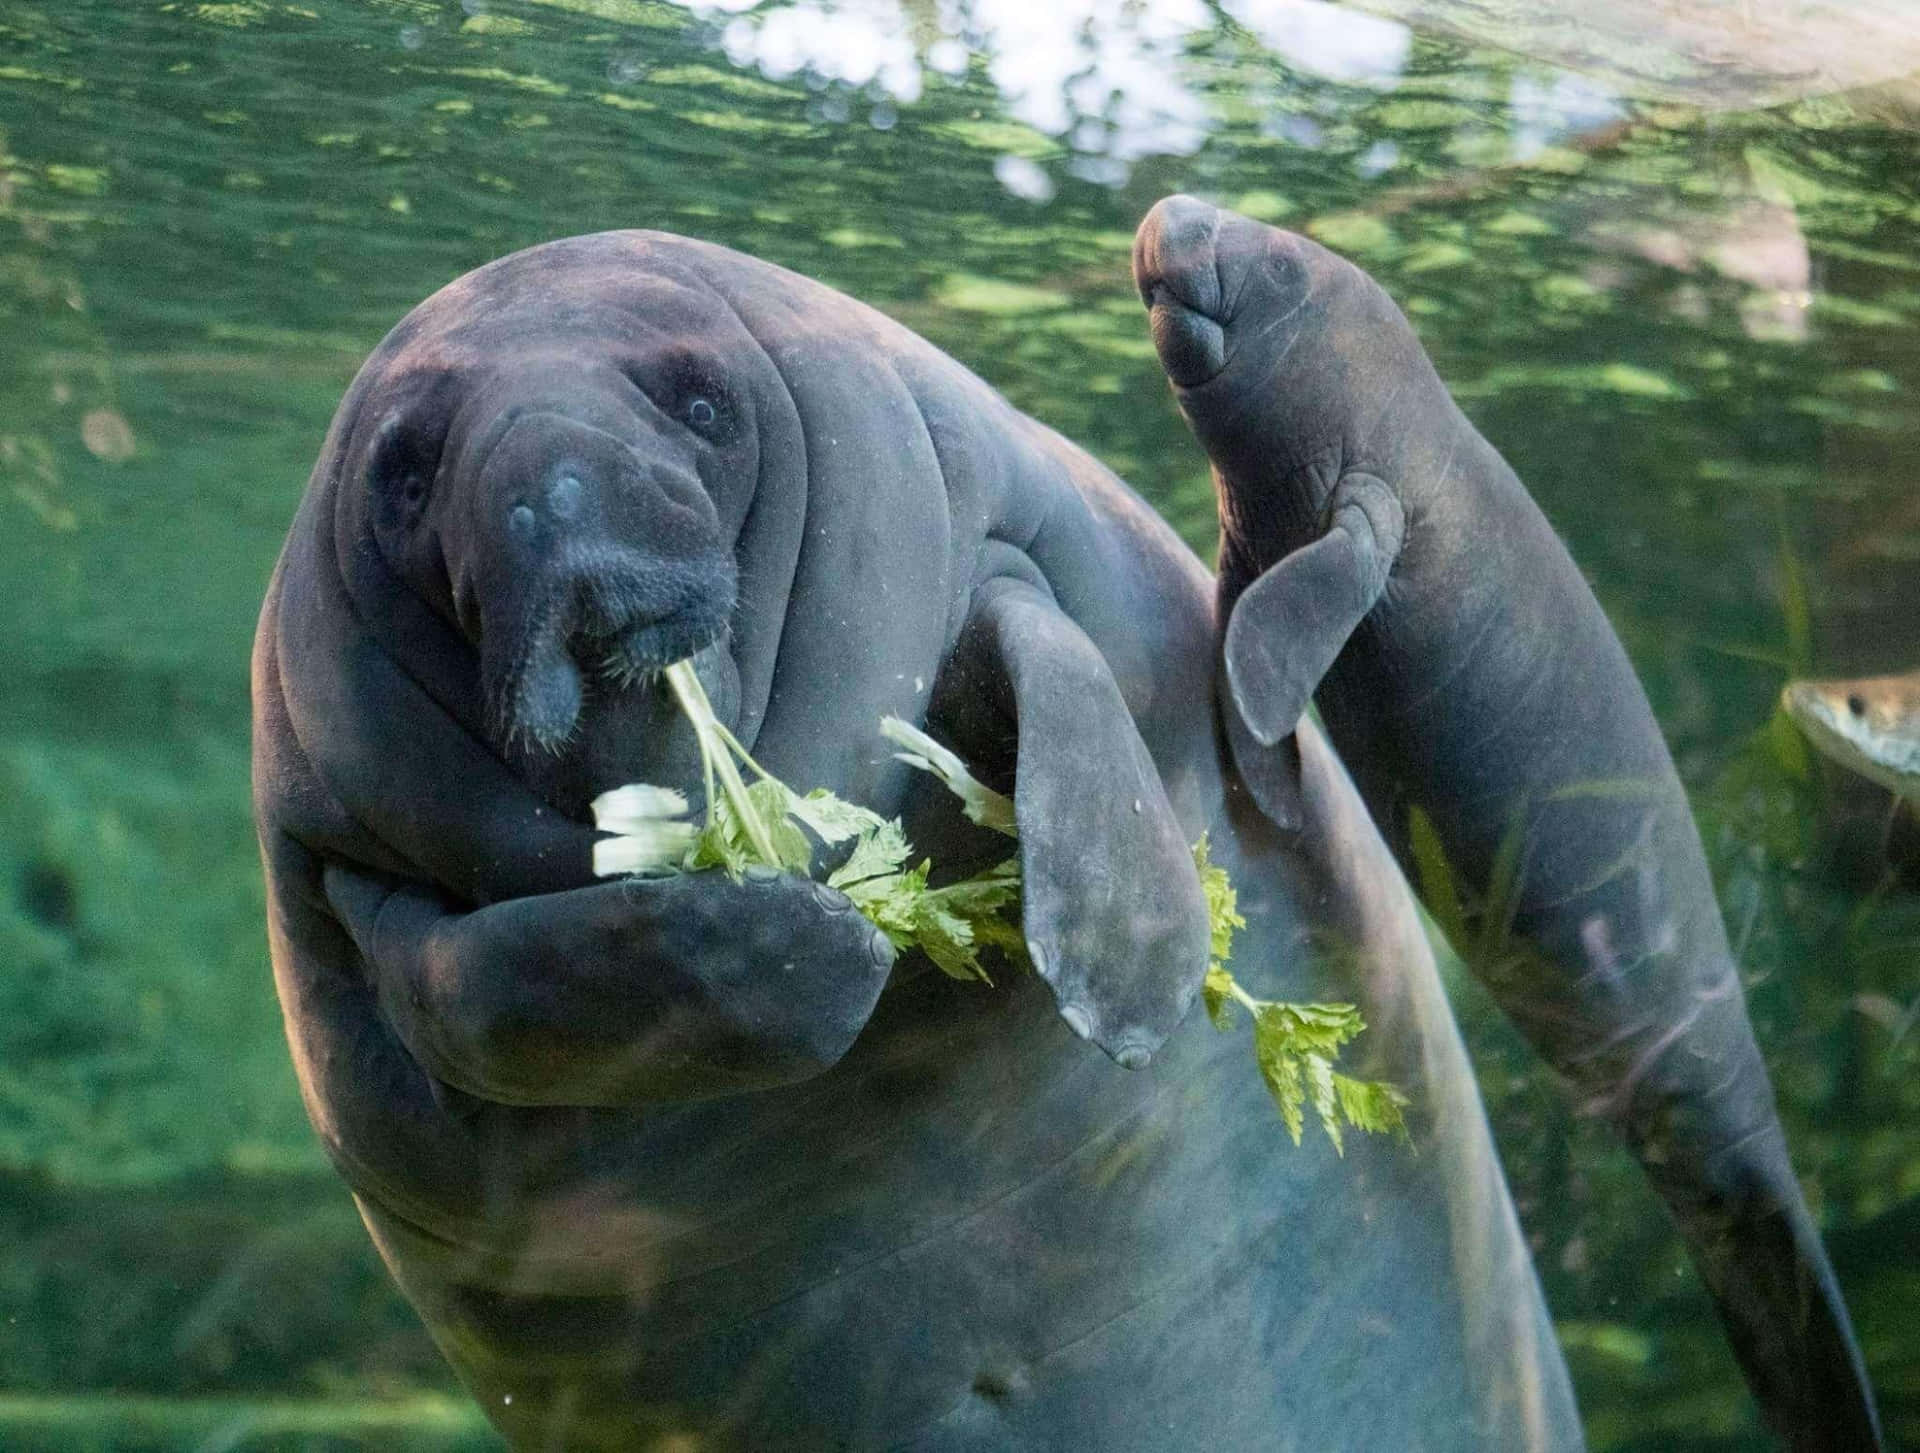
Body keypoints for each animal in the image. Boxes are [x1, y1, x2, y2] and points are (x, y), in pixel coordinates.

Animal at [259, 232, 1589, 1443]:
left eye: (702, 401)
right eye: (405, 474)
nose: (553, 480)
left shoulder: (984, 528)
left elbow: (1071, 696)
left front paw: (1120, 989)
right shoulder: (334, 849)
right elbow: (468, 981)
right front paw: (811, 948)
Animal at [1128, 195, 1881, 1451]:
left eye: (1283, 265)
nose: (1173, 212)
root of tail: (1761, 1160)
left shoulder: (1362, 514)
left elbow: (1270, 636)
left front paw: (1261, 741)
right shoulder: (1256, 530)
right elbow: (1241, 627)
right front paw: (1269, 779)